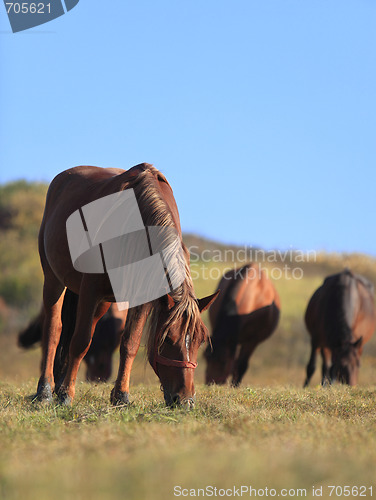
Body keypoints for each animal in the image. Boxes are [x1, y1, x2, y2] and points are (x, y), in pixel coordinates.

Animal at [37, 164, 217, 406]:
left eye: (200, 341)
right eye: (168, 339)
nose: (185, 400)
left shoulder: (142, 297)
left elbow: (130, 343)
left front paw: (121, 396)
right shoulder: (90, 290)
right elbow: (81, 342)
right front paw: (66, 395)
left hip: (102, 302)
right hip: (54, 281)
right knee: (53, 330)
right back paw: (45, 390)